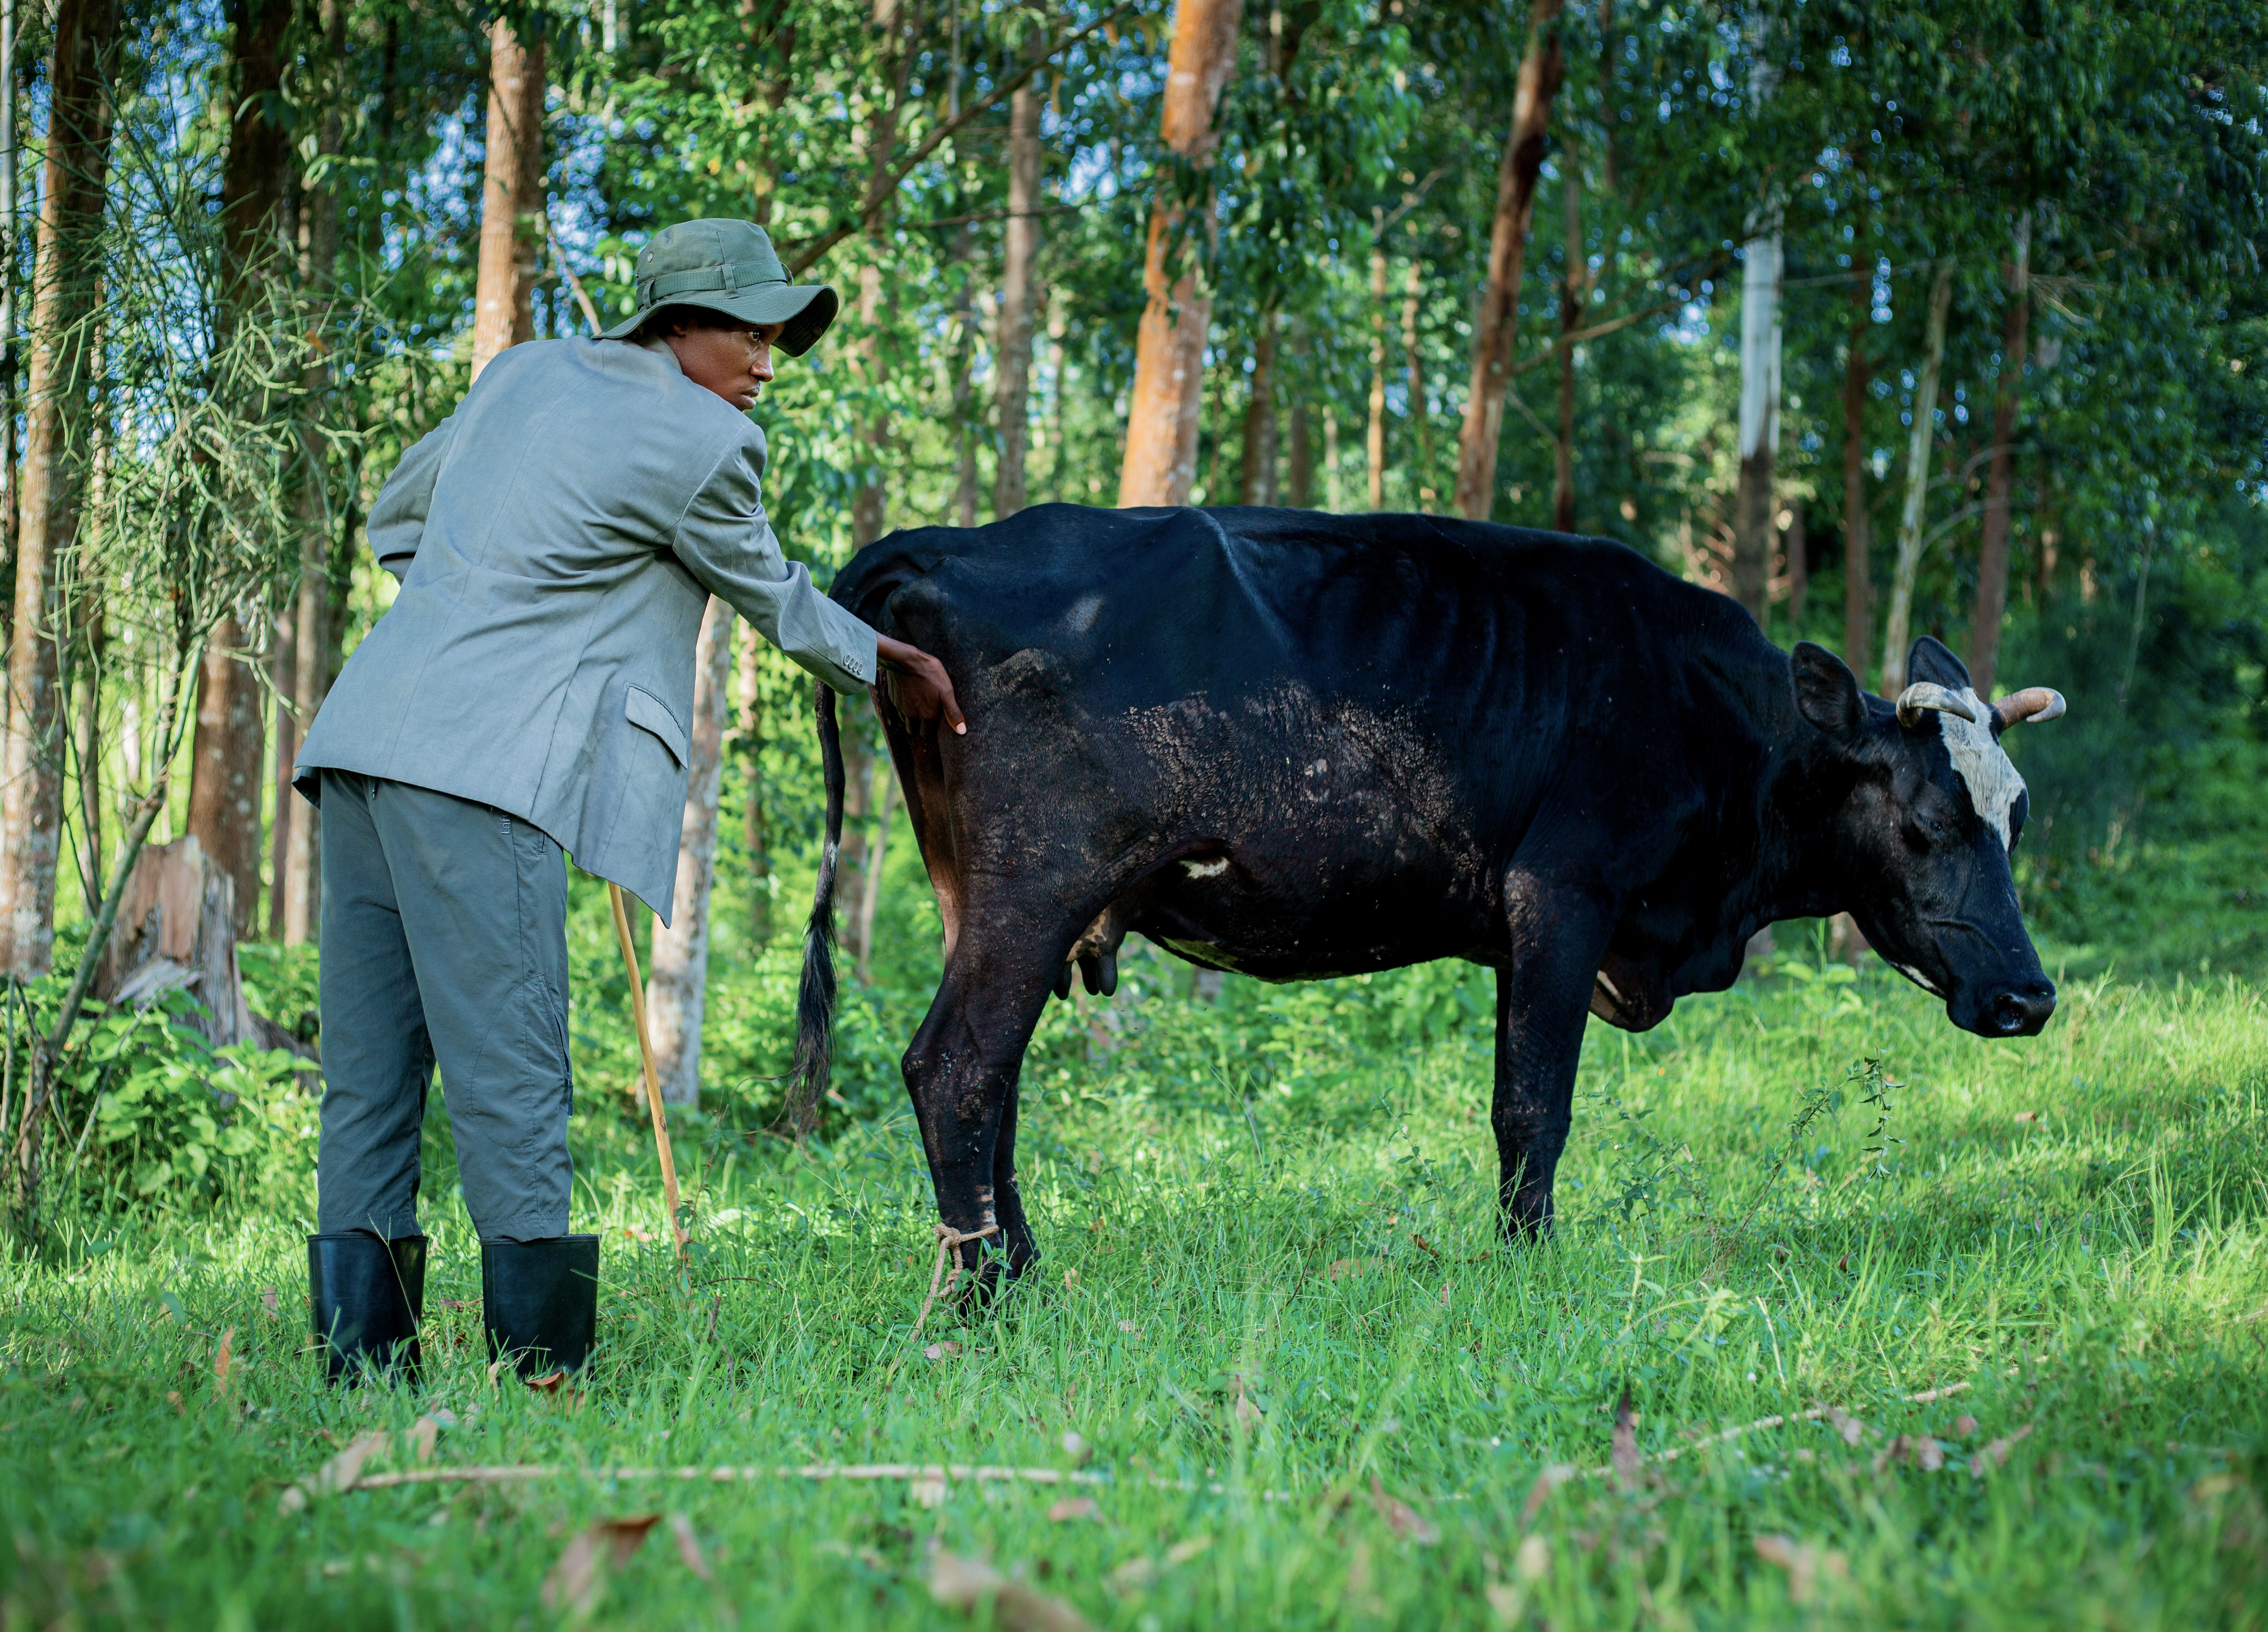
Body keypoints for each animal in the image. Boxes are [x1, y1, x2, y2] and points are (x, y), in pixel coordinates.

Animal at [791, 505, 2064, 1289]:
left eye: (2016, 817)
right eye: (1924, 824)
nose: (2028, 997)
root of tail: (942, 545)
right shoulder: (1563, 895)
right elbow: (1533, 1109)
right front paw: (1529, 1267)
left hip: (976, 890)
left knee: (989, 1078)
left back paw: (1016, 1267)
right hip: (1041, 881)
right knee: (958, 1064)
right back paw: (988, 1295)